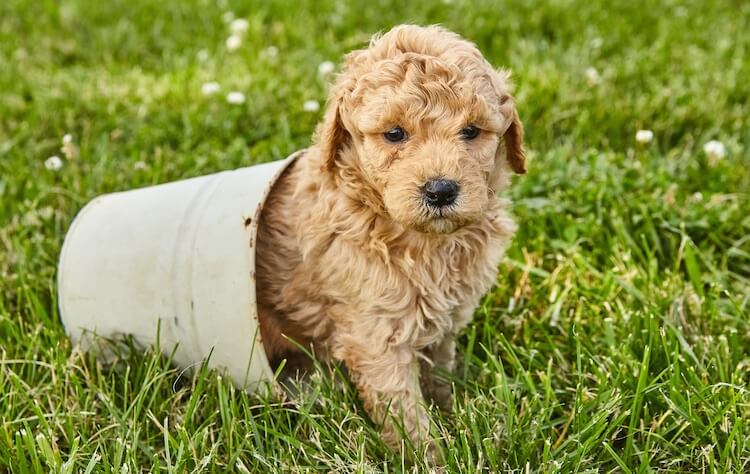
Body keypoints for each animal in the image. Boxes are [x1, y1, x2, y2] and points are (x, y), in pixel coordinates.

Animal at [256, 25, 524, 448]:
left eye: (471, 131)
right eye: (395, 134)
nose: (441, 191)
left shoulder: (444, 322)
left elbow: (439, 374)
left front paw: (453, 412)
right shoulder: (376, 337)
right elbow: (405, 414)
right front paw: (429, 455)